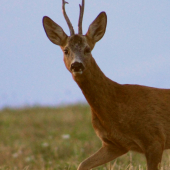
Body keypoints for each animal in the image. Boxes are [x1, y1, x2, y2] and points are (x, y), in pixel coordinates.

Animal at [42, 0, 170, 169]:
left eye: (87, 49)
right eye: (66, 50)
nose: (76, 65)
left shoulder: (155, 138)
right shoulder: (114, 144)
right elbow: (82, 164)